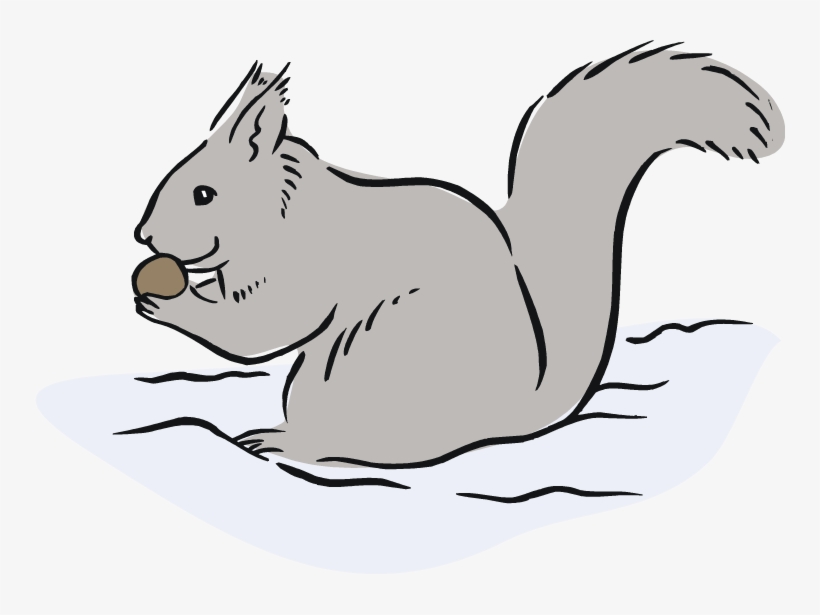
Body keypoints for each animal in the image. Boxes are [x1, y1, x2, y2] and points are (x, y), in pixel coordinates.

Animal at [132, 42, 784, 468]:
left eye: (204, 194)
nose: (143, 236)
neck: (279, 209)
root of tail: (514, 414)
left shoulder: (304, 266)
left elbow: (261, 328)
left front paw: (167, 303)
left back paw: (285, 442)